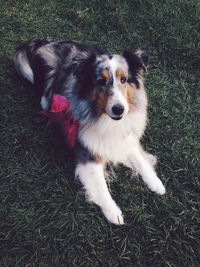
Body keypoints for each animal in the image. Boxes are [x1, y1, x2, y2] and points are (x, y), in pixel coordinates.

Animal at [13, 39, 165, 224]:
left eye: (124, 79)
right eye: (100, 81)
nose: (119, 109)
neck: (107, 119)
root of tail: (45, 41)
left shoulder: (125, 139)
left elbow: (140, 160)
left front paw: (156, 183)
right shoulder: (88, 155)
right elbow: (101, 186)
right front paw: (113, 213)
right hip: (48, 70)